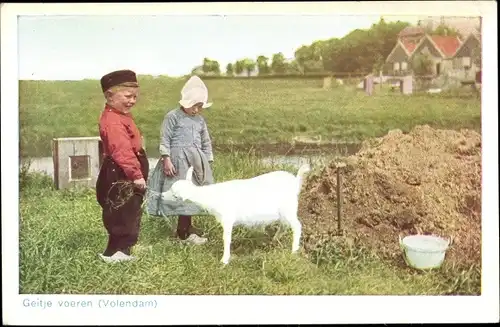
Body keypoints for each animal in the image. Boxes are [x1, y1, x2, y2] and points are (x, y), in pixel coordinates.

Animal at [164, 165, 310, 266]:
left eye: (175, 195)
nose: (162, 195)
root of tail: (296, 181)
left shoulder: (227, 218)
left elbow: (226, 239)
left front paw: (224, 260)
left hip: (289, 208)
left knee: (297, 226)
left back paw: (294, 251)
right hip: (284, 211)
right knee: (284, 225)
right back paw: (274, 240)